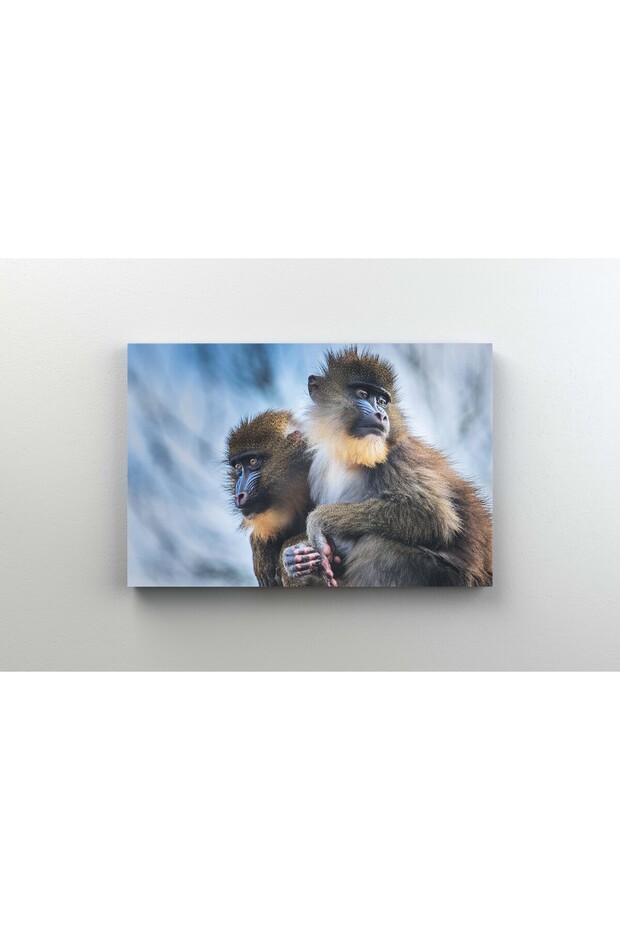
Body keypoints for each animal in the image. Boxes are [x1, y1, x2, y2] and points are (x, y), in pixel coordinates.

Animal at [282, 347, 492, 587]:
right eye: (362, 393)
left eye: (382, 400)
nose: (381, 415)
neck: (347, 453)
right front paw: (296, 559)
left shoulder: (399, 458)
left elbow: (434, 516)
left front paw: (319, 521)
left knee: (377, 547)